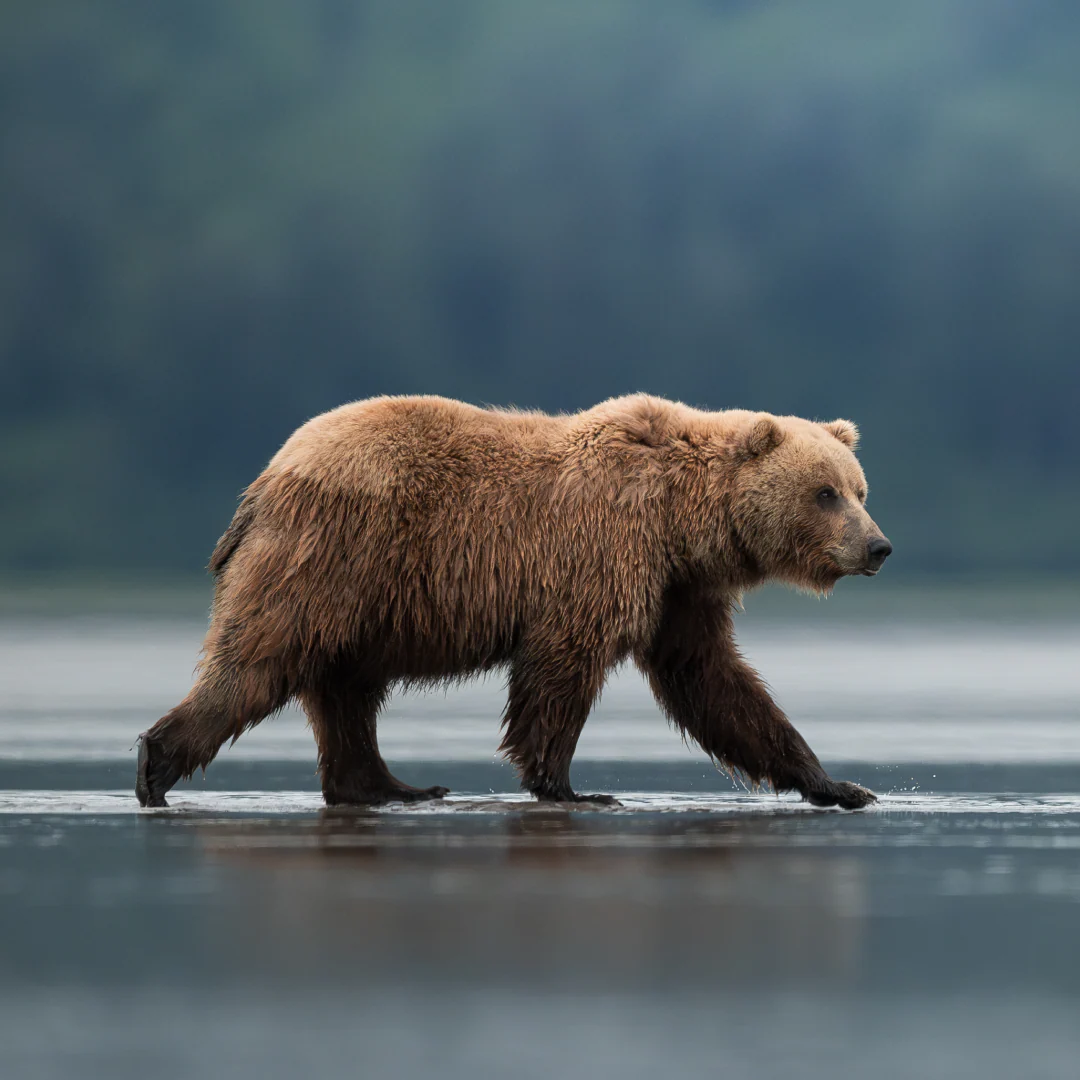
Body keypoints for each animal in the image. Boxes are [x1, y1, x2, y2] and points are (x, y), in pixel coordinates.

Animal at [136, 394, 891, 810]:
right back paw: (156, 765)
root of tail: (265, 479)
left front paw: (838, 784)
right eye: (825, 492)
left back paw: (391, 785)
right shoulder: (603, 550)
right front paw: (571, 785)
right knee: (259, 659)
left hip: (361, 598)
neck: (681, 521)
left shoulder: (679, 590)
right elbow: (561, 669)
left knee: (346, 690)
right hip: (333, 554)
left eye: (859, 489)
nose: (878, 546)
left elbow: (716, 685)